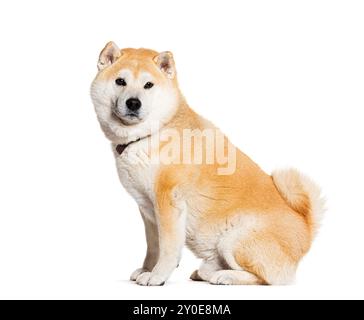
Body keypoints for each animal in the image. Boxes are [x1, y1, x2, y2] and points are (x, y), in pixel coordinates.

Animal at [90, 42, 324, 284]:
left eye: (148, 85)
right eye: (120, 81)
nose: (133, 103)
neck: (151, 134)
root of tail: (306, 230)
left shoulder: (168, 202)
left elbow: (168, 248)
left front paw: (158, 275)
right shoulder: (147, 208)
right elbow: (153, 246)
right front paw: (147, 269)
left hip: (233, 238)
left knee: (267, 279)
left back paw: (224, 276)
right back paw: (206, 272)